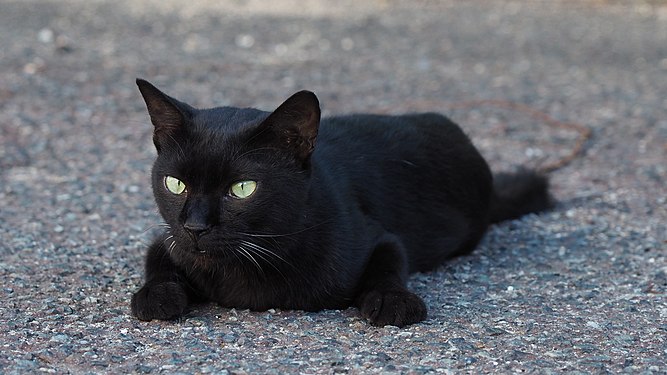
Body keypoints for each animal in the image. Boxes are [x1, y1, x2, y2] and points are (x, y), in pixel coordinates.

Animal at [132, 78, 552, 326]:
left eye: (242, 189)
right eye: (175, 184)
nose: (195, 226)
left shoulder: (378, 234)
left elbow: (389, 261)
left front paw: (393, 300)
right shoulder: (167, 238)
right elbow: (157, 260)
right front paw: (157, 296)